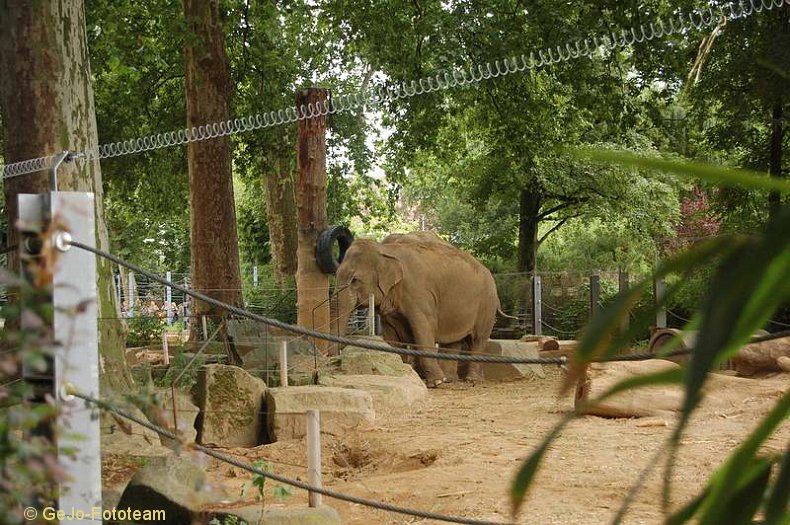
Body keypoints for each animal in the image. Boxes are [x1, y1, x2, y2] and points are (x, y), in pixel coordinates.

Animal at [336, 231, 502, 386]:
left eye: (354, 280)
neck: (384, 249)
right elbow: (392, 335)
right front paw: (402, 371)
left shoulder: (418, 291)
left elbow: (423, 328)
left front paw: (436, 382)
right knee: (453, 342)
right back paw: (450, 379)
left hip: (487, 305)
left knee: (478, 339)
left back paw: (471, 380)